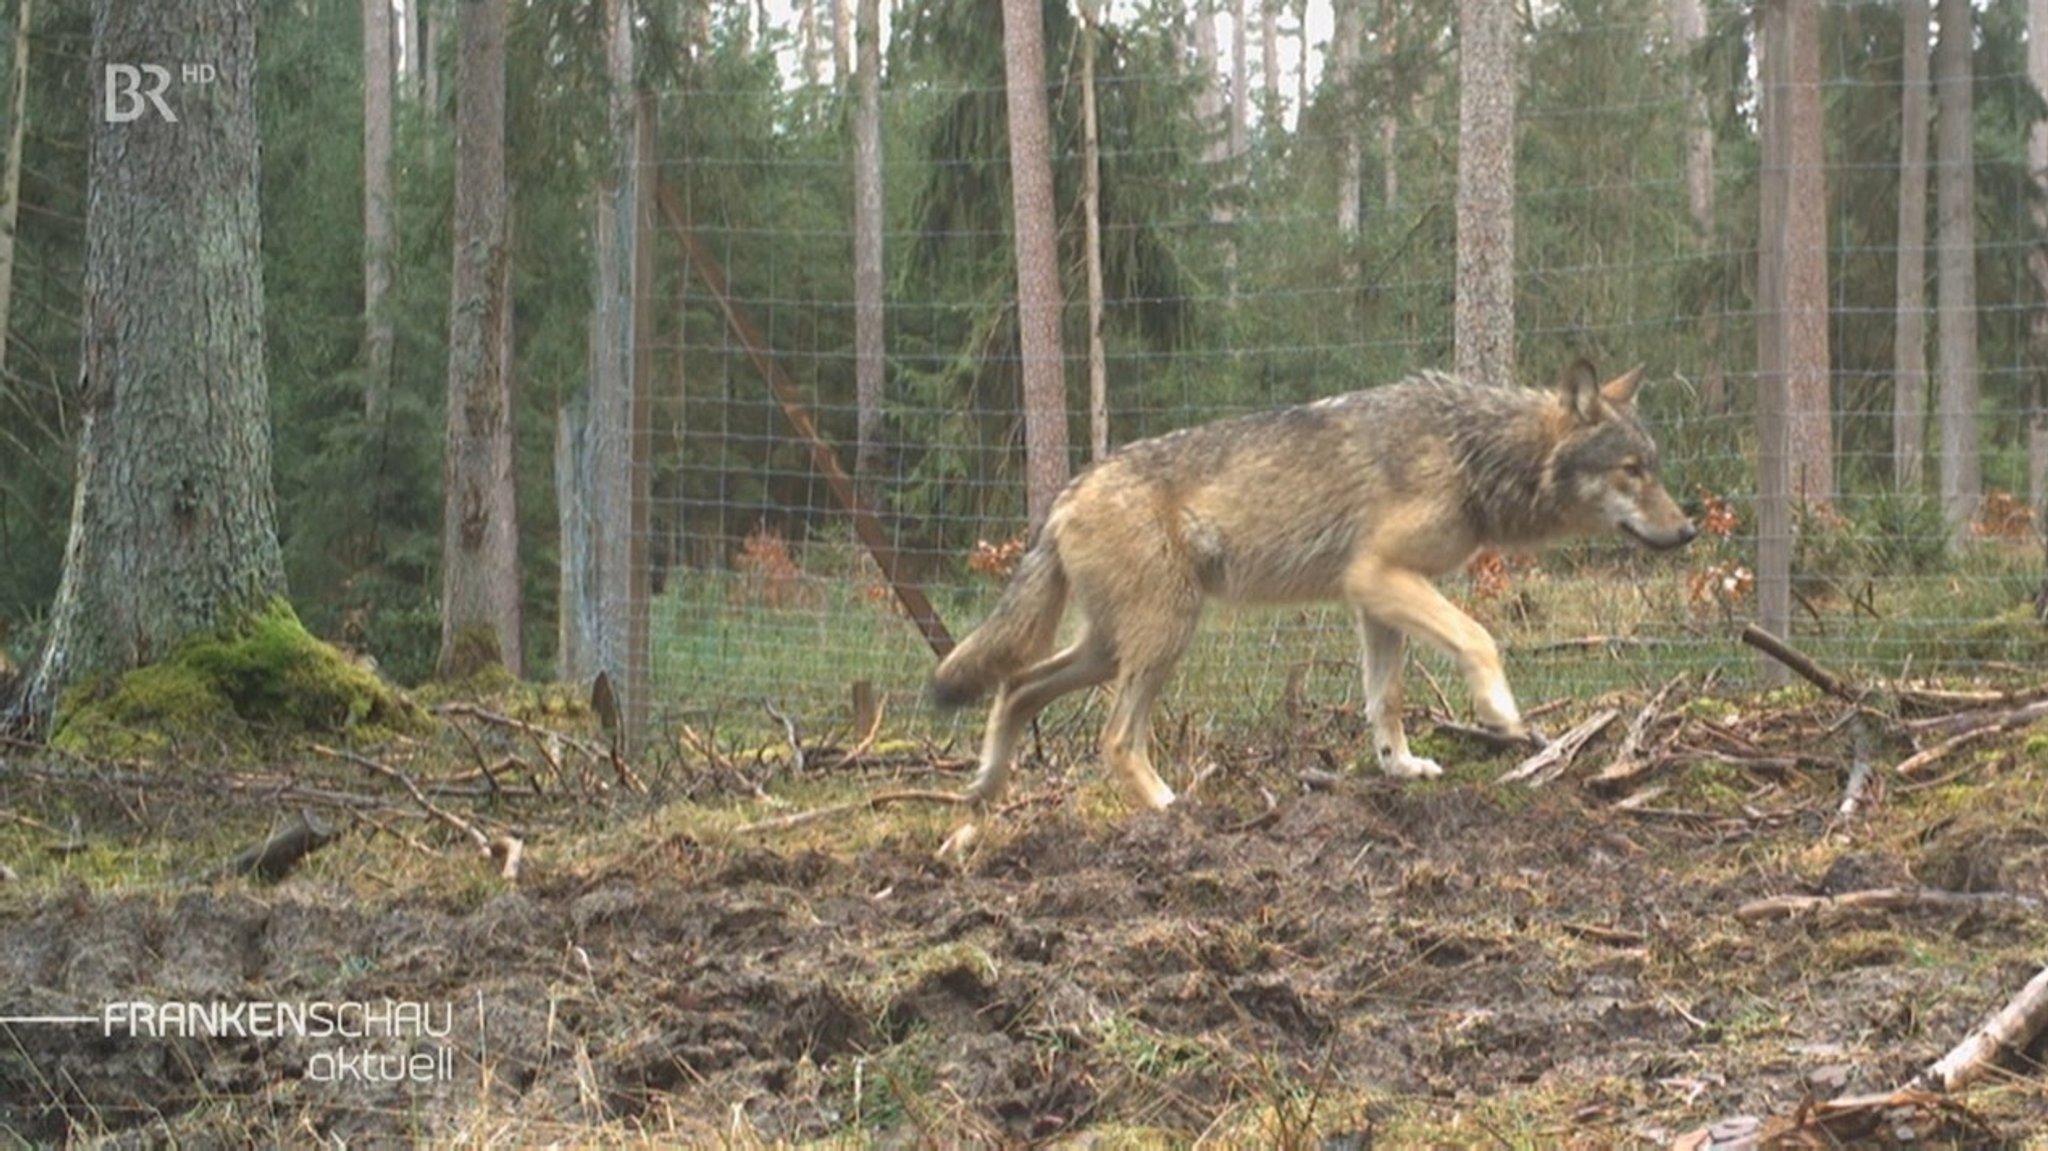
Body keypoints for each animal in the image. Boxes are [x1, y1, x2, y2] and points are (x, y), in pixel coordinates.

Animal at [933, 358, 1695, 806]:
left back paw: (981, 799)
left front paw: (1398, 767)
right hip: (1162, 639)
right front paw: (1502, 714)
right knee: (1114, 738)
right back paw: (1169, 808)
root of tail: (1066, 492)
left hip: (1110, 648)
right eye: (1632, 470)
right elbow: (1480, 639)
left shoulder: (1376, 600)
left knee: (1016, 687)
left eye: (1654, 466)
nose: (1688, 530)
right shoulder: (1378, 575)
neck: (1469, 451)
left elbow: (1386, 699)